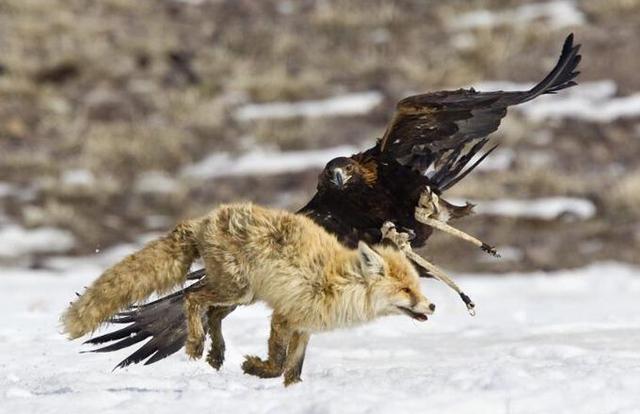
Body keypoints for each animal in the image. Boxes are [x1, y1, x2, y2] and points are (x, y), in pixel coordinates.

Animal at [63, 34, 580, 378]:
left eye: (342, 169)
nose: (335, 174)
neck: (353, 190)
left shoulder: (400, 177)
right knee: (409, 233)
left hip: (417, 188)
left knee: (424, 214)